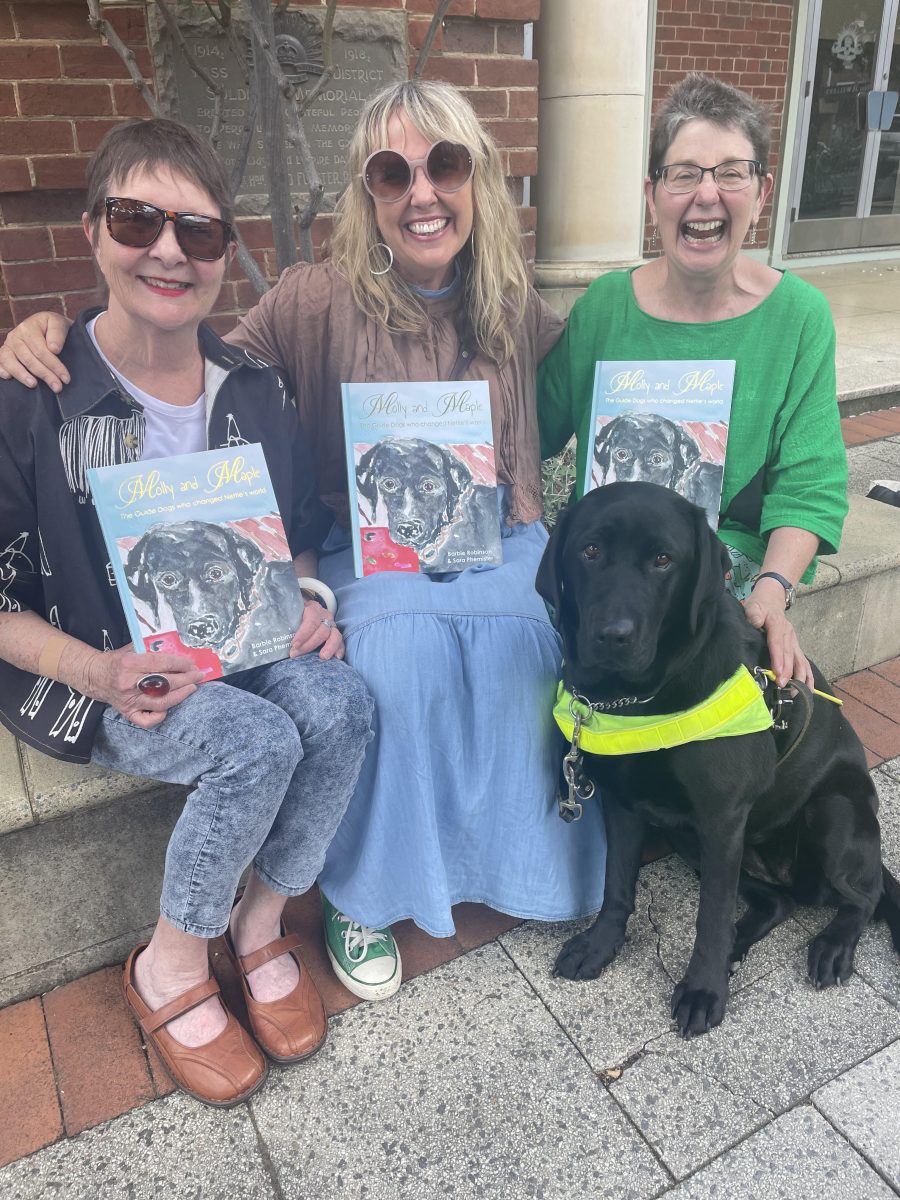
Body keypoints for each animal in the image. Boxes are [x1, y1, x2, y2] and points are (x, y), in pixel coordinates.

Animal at [540, 482, 897, 1036]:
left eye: (663, 560)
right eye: (590, 551)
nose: (613, 636)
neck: (641, 698)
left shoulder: (721, 817)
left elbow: (709, 918)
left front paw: (703, 991)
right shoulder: (625, 805)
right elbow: (616, 884)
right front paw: (600, 947)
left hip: (829, 814)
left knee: (866, 894)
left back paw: (833, 946)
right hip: (691, 840)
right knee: (778, 902)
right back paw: (740, 944)